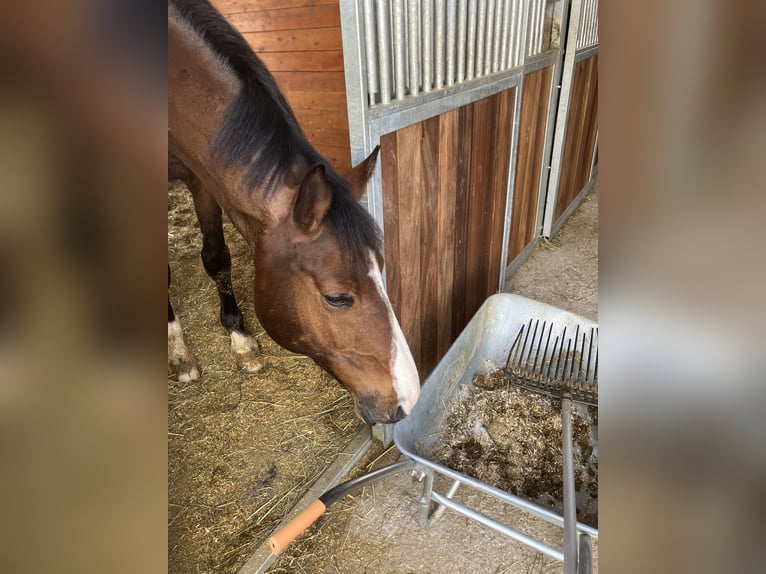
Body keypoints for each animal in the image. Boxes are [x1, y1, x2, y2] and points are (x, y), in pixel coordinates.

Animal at [168, 0, 424, 426]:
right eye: (336, 298)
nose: (408, 400)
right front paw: (179, 354)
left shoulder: (200, 176)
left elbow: (216, 258)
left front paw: (240, 340)